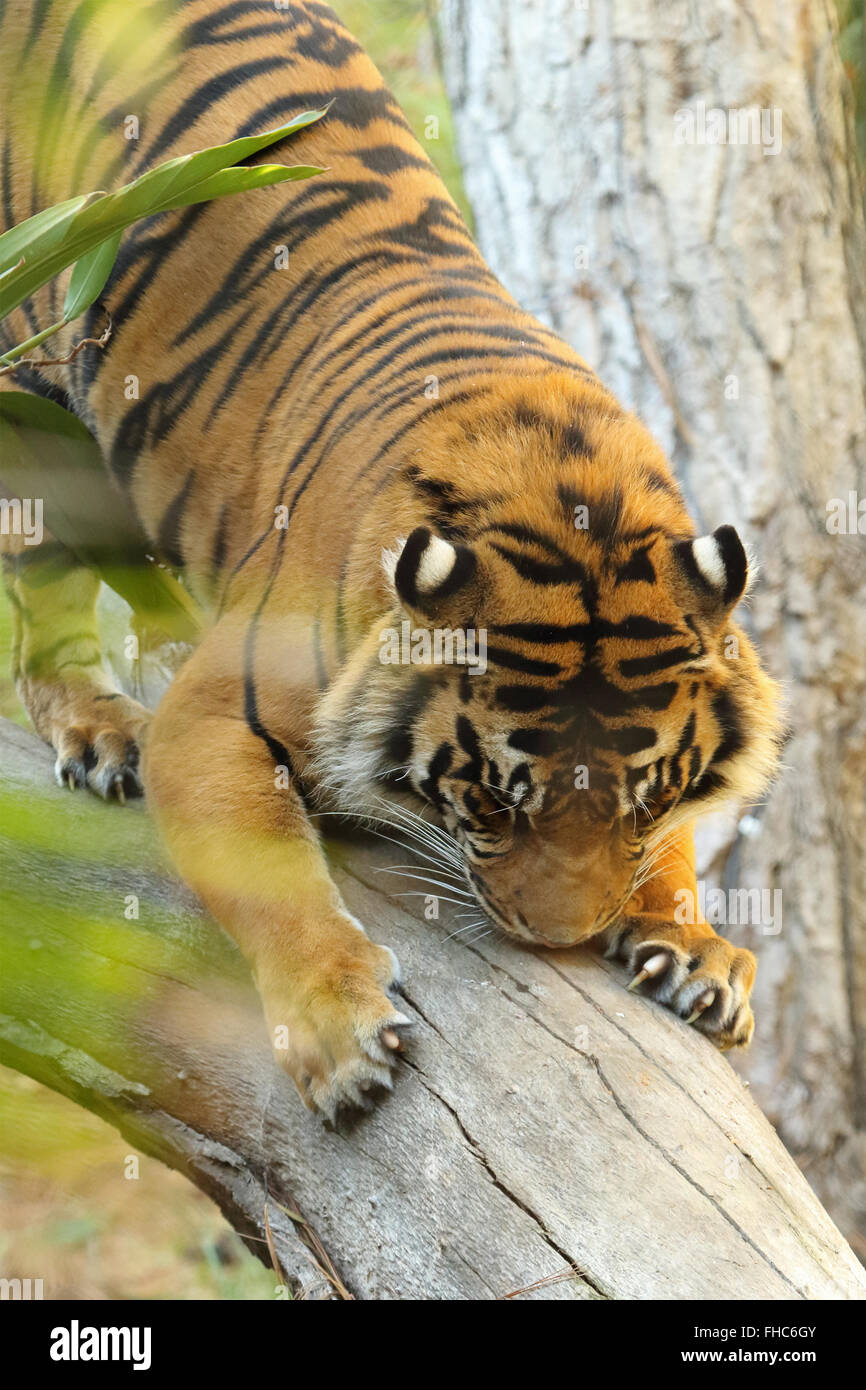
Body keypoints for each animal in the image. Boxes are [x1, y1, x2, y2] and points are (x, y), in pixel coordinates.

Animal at [0, 0, 783, 1112]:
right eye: (495, 800)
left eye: (641, 797)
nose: (560, 941)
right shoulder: (213, 719)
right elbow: (273, 883)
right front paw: (338, 1028)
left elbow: (672, 843)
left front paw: (698, 947)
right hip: (29, 383)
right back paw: (100, 728)